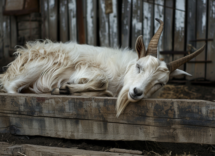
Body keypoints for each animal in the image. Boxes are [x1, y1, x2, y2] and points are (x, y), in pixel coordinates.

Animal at [0, 18, 205, 116]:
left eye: (160, 83)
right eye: (139, 66)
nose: (136, 92)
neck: (123, 73)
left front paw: (66, 90)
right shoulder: (84, 69)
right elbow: (102, 80)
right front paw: (66, 88)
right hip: (32, 69)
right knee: (11, 88)